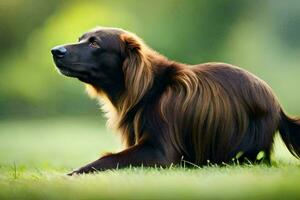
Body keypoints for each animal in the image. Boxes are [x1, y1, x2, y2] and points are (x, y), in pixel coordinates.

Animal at [51, 27, 300, 175]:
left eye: (95, 43)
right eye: (80, 39)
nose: (55, 50)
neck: (147, 90)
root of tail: (277, 106)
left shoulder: (160, 153)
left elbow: (108, 159)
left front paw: (70, 174)